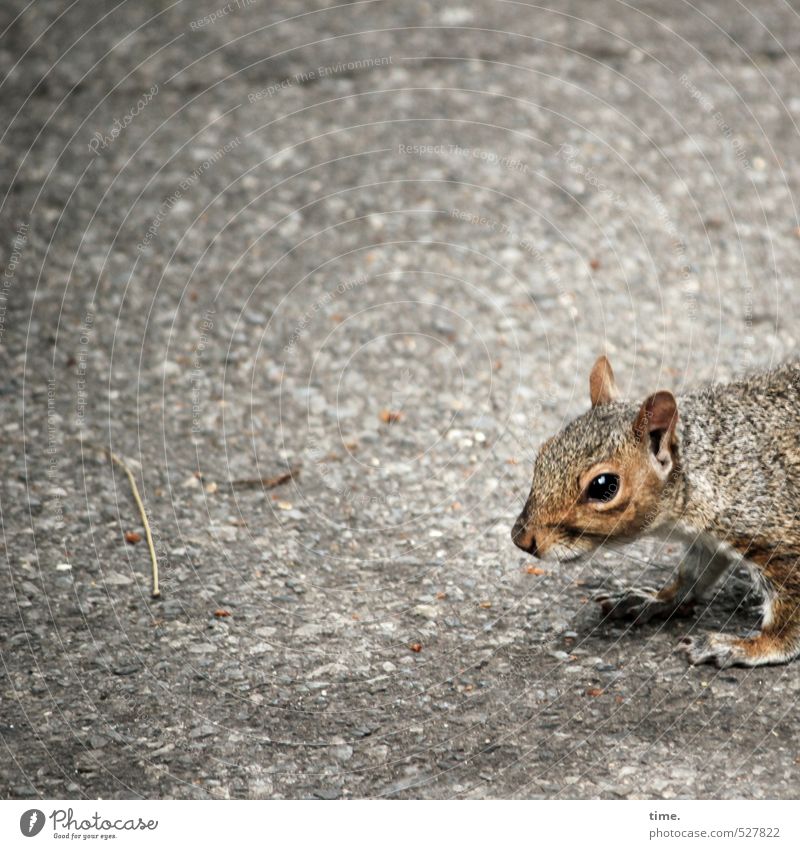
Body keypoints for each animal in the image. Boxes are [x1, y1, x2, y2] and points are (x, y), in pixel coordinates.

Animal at [512, 354, 800, 664]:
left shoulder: (776, 531)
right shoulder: (706, 539)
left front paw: (748, 646)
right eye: (544, 453)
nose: (520, 539)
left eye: (604, 486)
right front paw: (657, 598)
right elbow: (693, 574)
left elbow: (788, 622)